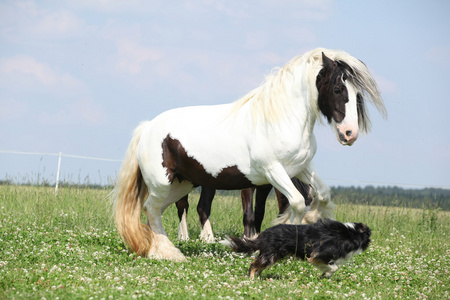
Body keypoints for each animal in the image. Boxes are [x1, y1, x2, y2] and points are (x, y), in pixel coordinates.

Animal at [176, 177, 312, 243]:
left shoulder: (265, 186)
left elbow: (259, 213)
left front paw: (255, 237)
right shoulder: (247, 186)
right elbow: (249, 215)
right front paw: (246, 238)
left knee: (202, 207)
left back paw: (205, 237)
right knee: (183, 206)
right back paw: (184, 237)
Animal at [227, 218, 370, 278]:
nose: (370, 241)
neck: (350, 233)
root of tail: (263, 235)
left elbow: (332, 268)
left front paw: (325, 275)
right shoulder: (319, 254)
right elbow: (334, 267)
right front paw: (327, 273)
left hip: (272, 256)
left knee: (259, 266)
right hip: (270, 256)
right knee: (253, 265)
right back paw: (251, 278)